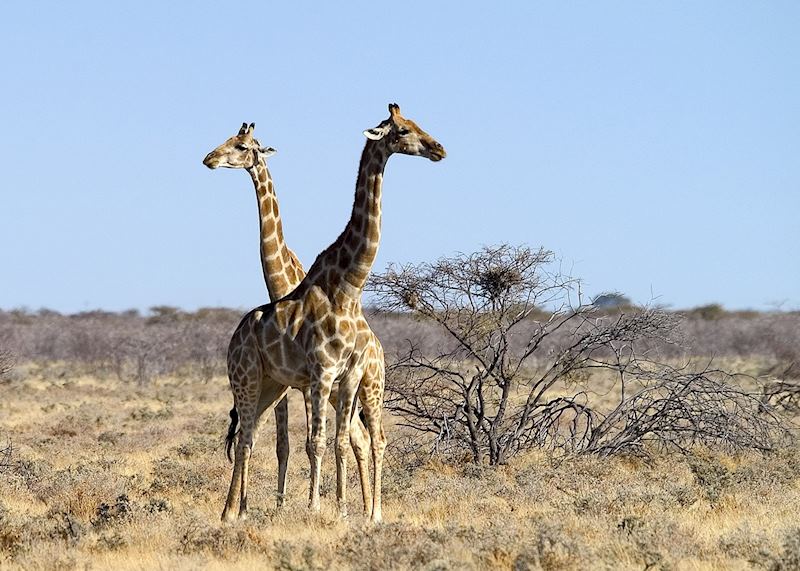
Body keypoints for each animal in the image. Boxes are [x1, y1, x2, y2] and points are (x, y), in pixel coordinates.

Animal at [202, 122, 377, 512]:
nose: (209, 159)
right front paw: (271, 504)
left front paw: (303, 503)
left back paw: (369, 510)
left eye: (240, 146)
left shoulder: (304, 384)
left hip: (367, 384)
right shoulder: (288, 382)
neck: (282, 283)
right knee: (356, 435)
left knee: (366, 436)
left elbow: (305, 442)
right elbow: (281, 443)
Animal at [220, 103, 445, 523]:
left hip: (344, 386)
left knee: (369, 438)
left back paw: (372, 511)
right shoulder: (319, 374)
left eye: (415, 125)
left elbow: (335, 441)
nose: (439, 149)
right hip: (249, 379)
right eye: (403, 131)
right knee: (246, 437)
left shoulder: (345, 375)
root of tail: (234, 337)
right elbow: (314, 442)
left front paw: (338, 509)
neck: (347, 287)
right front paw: (315, 506)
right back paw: (230, 513)